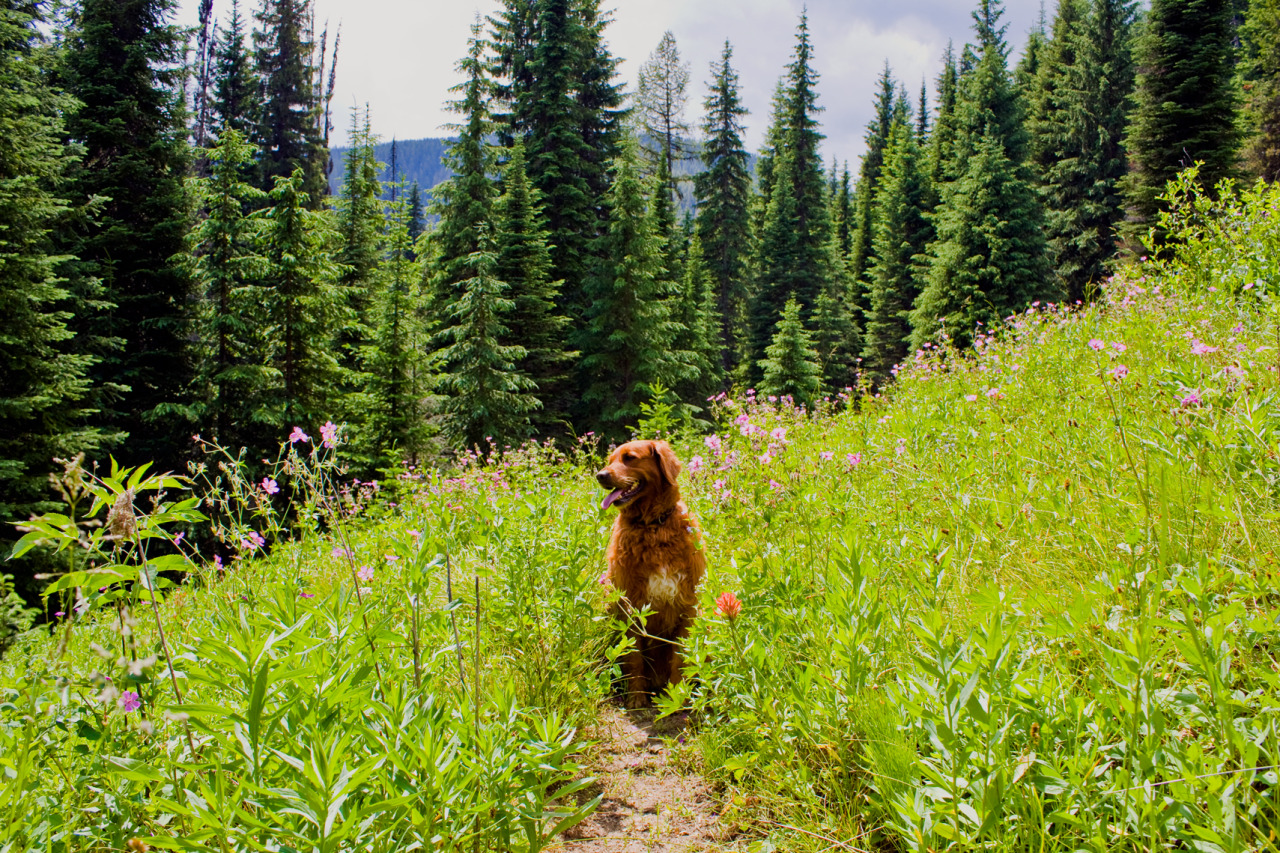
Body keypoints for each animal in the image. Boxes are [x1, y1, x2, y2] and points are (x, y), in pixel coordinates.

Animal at [593, 438, 706, 701]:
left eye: (629, 458)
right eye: (610, 460)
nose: (600, 475)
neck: (653, 526)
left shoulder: (688, 606)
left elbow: (680, 660)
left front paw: (676, 698)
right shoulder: (629, 606)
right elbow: (634, 658)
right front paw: (636, 698)